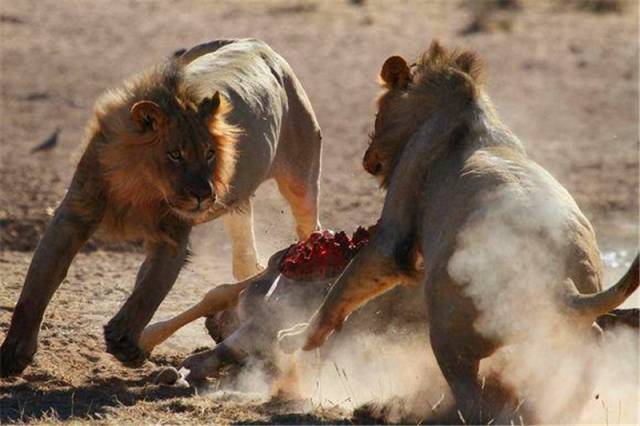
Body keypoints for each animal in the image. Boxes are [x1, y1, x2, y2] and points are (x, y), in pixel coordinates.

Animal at [0, 36, 320, 376]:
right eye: (175, 154)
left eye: (209, 153)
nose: (204, 195)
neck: (141, 186)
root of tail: (254, 42)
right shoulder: (72, 217)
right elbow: (37, 286)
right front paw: (14, 352)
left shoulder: (172, 239)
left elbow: (148, 293)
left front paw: (125, 342)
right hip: (238, 204)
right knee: (245, 258)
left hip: (301, 181)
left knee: (308, 228)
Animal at [282, 40, 640, 422]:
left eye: (378, 114)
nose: (367, 157)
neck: (463, 112)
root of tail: (560, 284)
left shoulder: (394, 228)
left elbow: (345, 287)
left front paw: (297, 337)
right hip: (570, 339)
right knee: (584, 362)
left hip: (449, 334)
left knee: (471, 396)